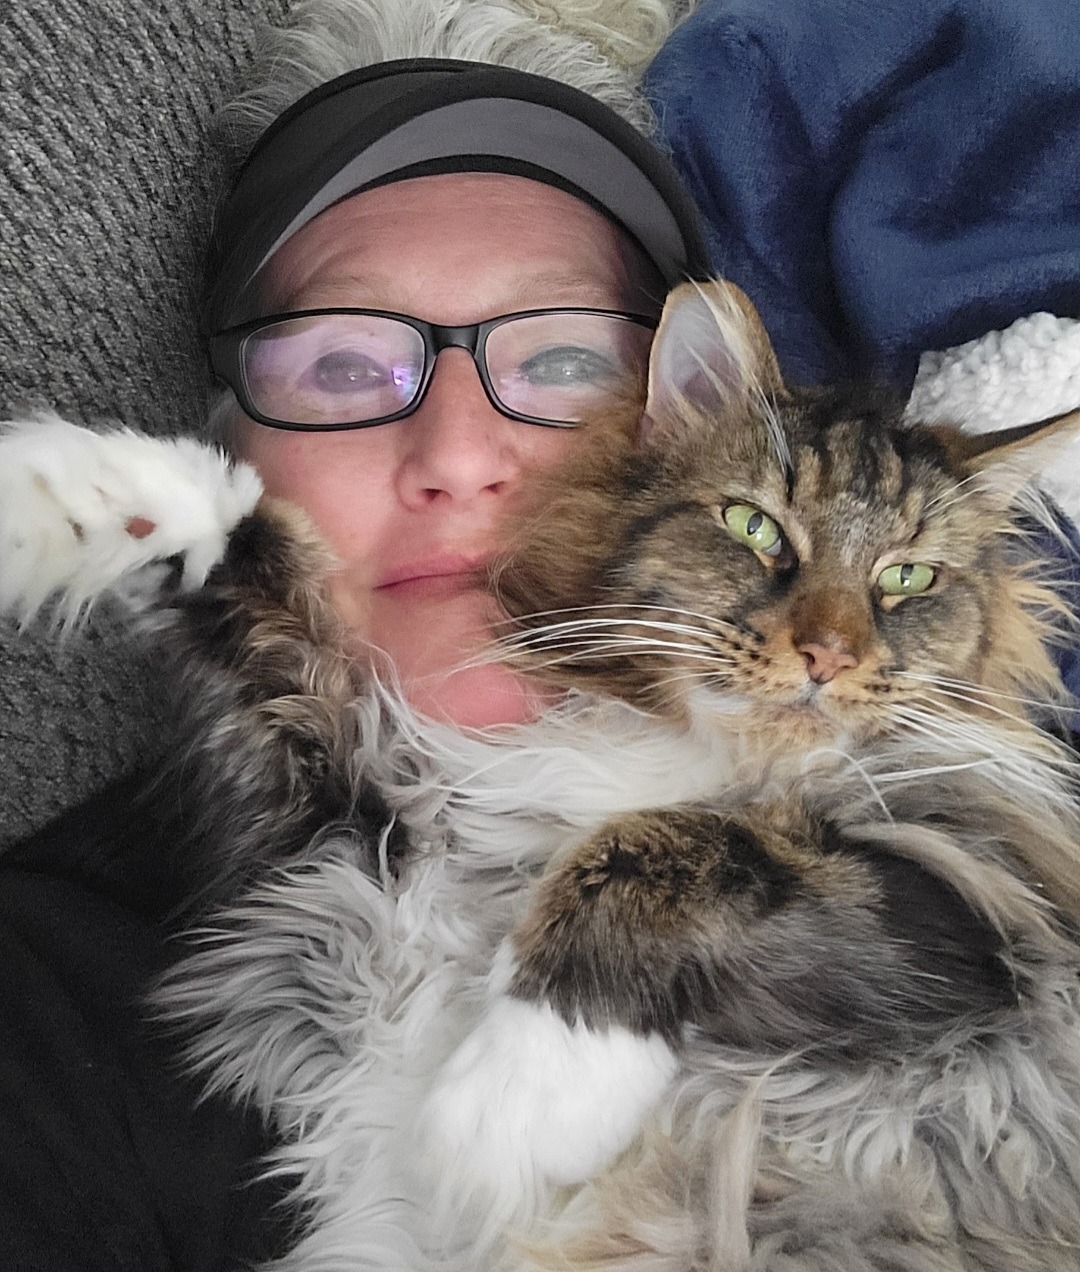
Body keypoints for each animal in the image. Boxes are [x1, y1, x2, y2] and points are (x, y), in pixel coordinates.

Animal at [2, 278, 1080, 1272]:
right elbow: (251, 569)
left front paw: (509, 1105)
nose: (829, 654)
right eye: (754, 528)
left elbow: (665, 842)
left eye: (907, 580)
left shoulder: (977, 906)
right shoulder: (349, 833)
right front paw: (68, 495)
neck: (699, 749)